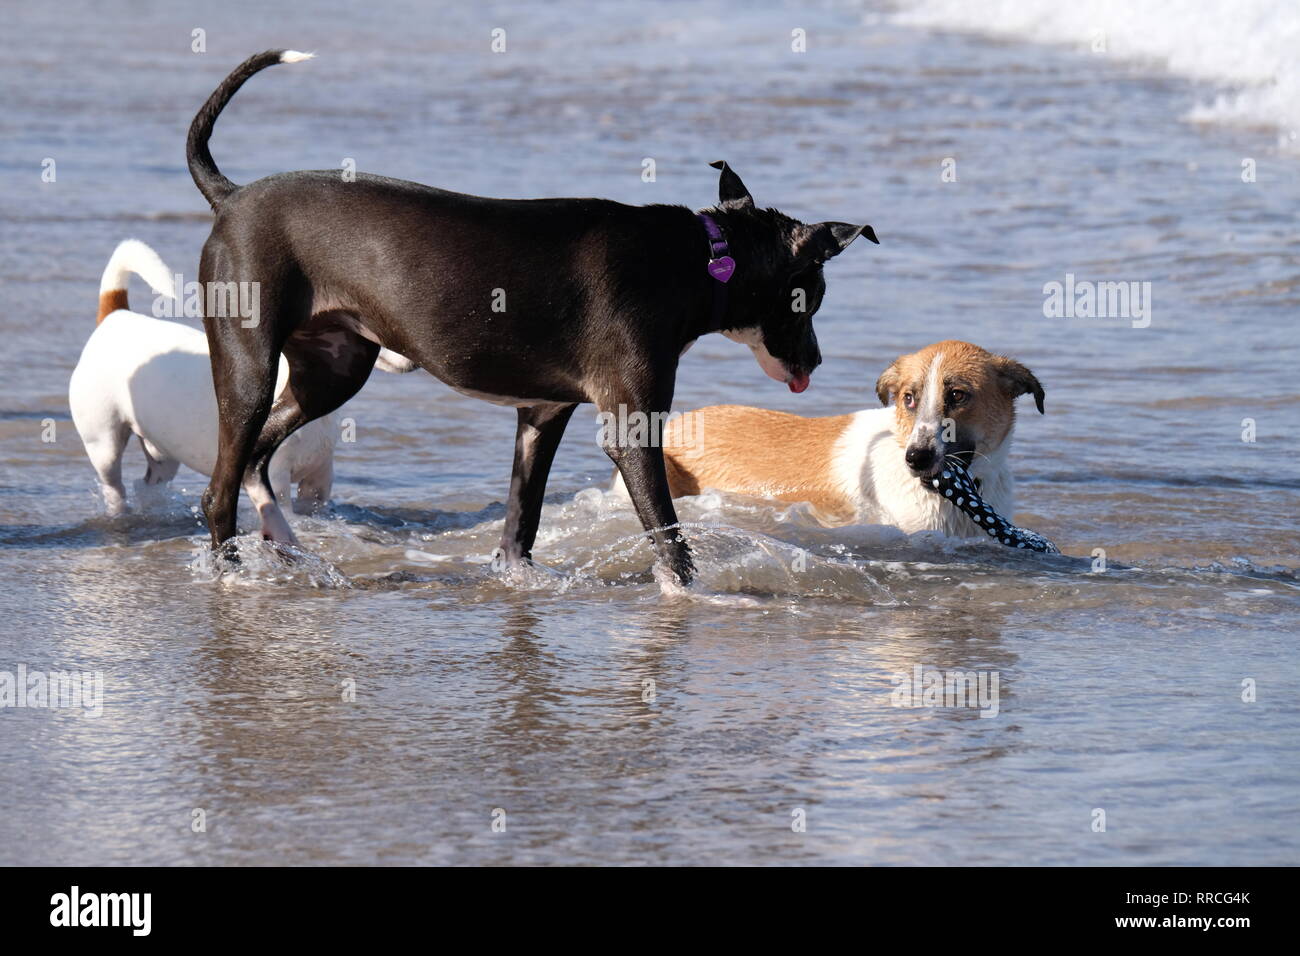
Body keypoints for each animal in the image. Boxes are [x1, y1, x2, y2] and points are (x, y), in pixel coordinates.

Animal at [69, 238, 410, 538]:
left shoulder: (318, 481)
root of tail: (115, 316)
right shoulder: (275, 479)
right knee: (114, 486)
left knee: (148, 485)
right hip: (104, 443)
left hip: (162, 452)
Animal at [185, 52, 873, 582]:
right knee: (220, 487)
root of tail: (232, 196)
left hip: (334, 368)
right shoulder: (631, 426)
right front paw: (690, 595)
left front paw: (519, 581)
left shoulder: (541, 414)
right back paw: (231, 574)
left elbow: (523, 520)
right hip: (249, 367)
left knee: (257, 456)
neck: (704, 256)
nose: (815, 362)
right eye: (813, 296)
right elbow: (668, 536)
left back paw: (284, 541)